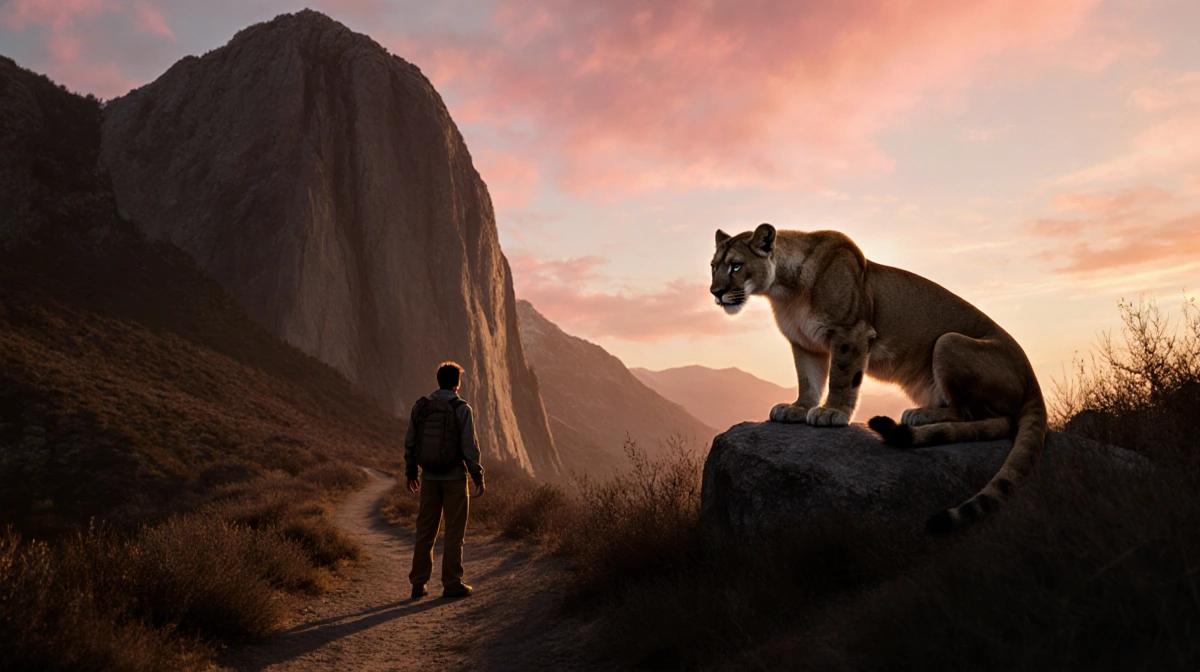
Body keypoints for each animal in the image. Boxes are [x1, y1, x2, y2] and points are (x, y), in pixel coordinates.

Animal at [710, 224, 1046, 534]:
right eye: (714, 266)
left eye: (736, 265)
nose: (715, 293)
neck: (785, 290)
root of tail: (1033, 381)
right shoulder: (804, 343)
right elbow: (807, 380)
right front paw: (797, 409)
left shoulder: (851, 331)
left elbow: (843, 376)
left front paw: (832, 413)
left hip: (948, 341)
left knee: (984, 417)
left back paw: (921, 415)